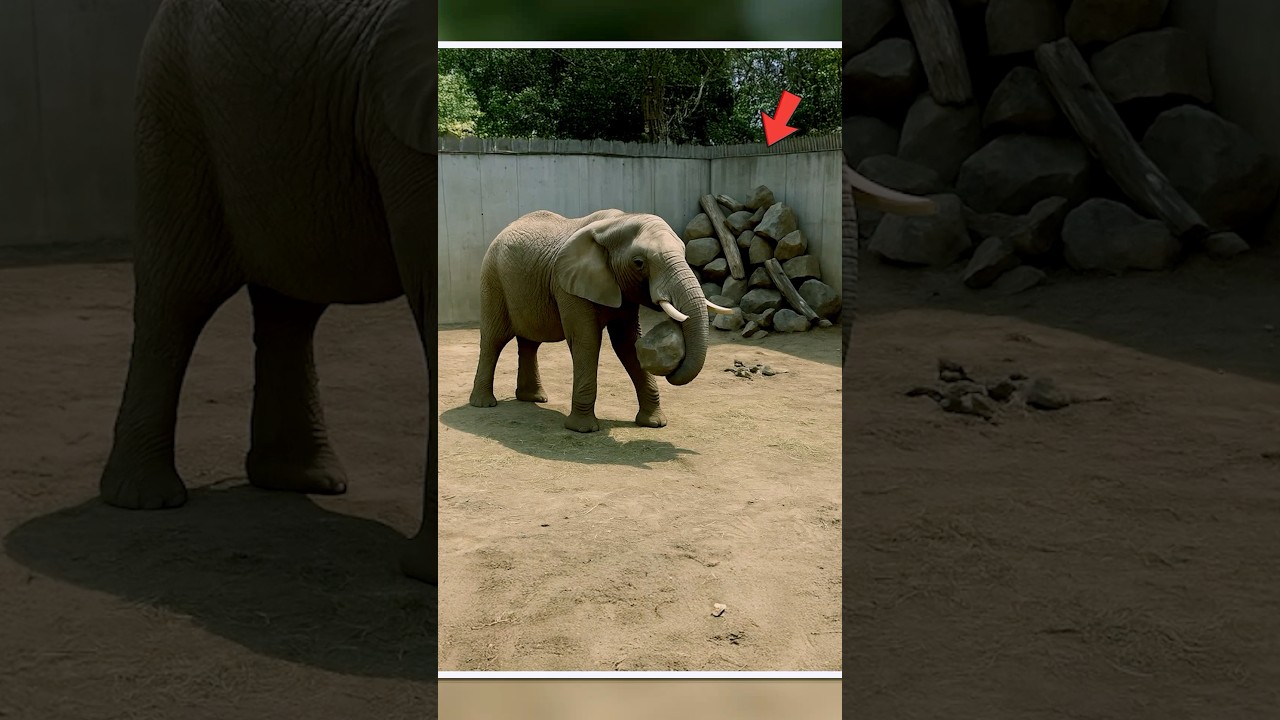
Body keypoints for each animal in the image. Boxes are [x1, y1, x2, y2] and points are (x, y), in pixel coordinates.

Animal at [98, 0, 438, 584]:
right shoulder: (409, 142)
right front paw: (424, 576)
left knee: (290, 308)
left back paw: (300, 481)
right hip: (173, 105)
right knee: (175, 298)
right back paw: (143, 500)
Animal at [468, 209, 732, 433]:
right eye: (639, 263)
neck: (616, 223)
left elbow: (626, 344)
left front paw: (655, 423)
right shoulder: (568, 286)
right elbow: (587, 340)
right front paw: (583, 429)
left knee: (530, 342)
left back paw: (533, 398)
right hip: (492, 279)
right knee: (494, 339)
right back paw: (483, 404)